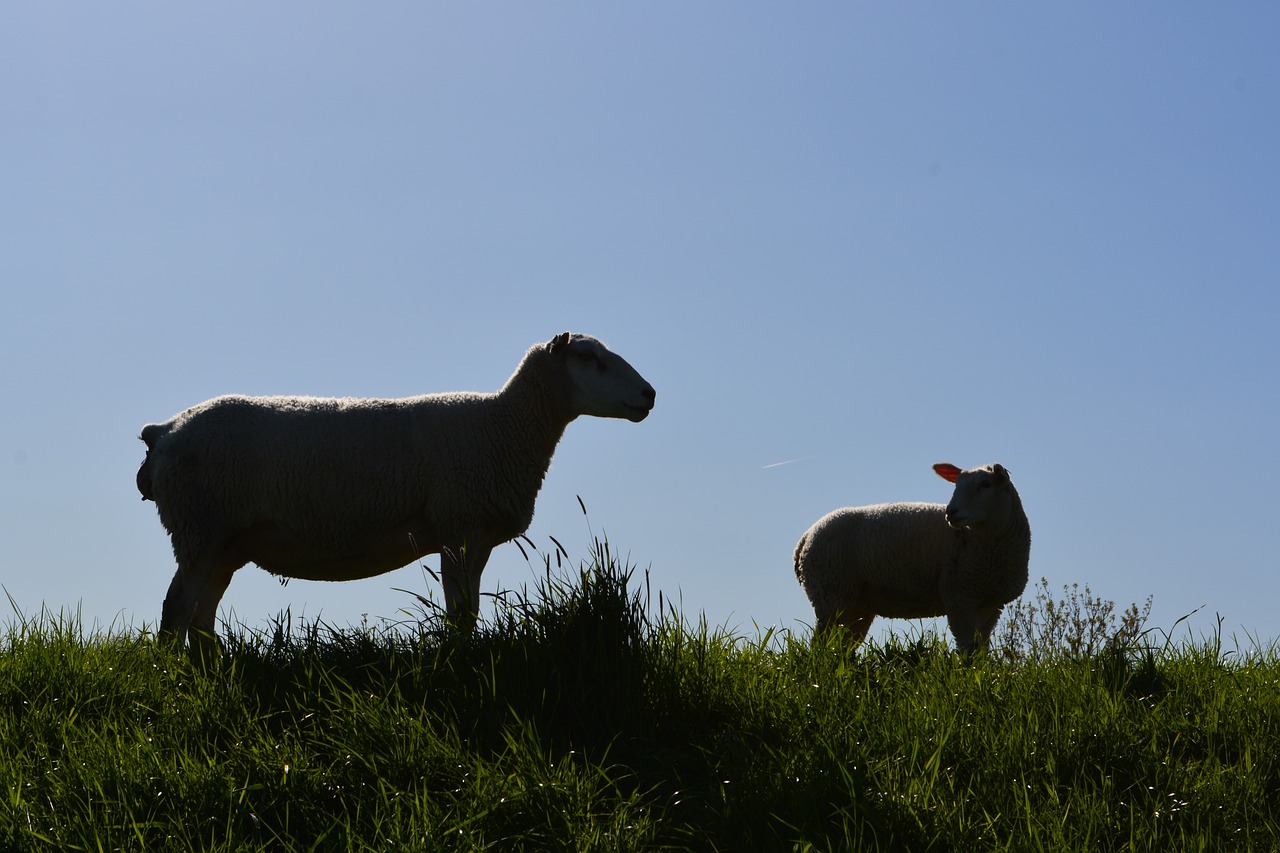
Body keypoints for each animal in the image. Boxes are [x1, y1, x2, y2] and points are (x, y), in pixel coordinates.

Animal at [136, 333, 655, 650]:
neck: (503, 425)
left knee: (201, 617)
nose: (650, 395)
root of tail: (163, 432)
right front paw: (460, 660)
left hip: (222, 541)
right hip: (200, 527)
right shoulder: (458, 526)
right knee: (176, 609)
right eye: (589, 358)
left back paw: (210, 673)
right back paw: (172, 679)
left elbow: (469, 611)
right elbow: (459, 612)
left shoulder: (476, 536)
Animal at [788, 461, 1029, 648]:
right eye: (956, 485)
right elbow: (968, 649)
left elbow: (981, 651)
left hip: (856, 604)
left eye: (985, 484)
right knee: (821, 646)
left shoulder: (992, 604)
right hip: (830, 592)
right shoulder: (958, 596)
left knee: (842, 647)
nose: (951, 512)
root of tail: (805, 539)